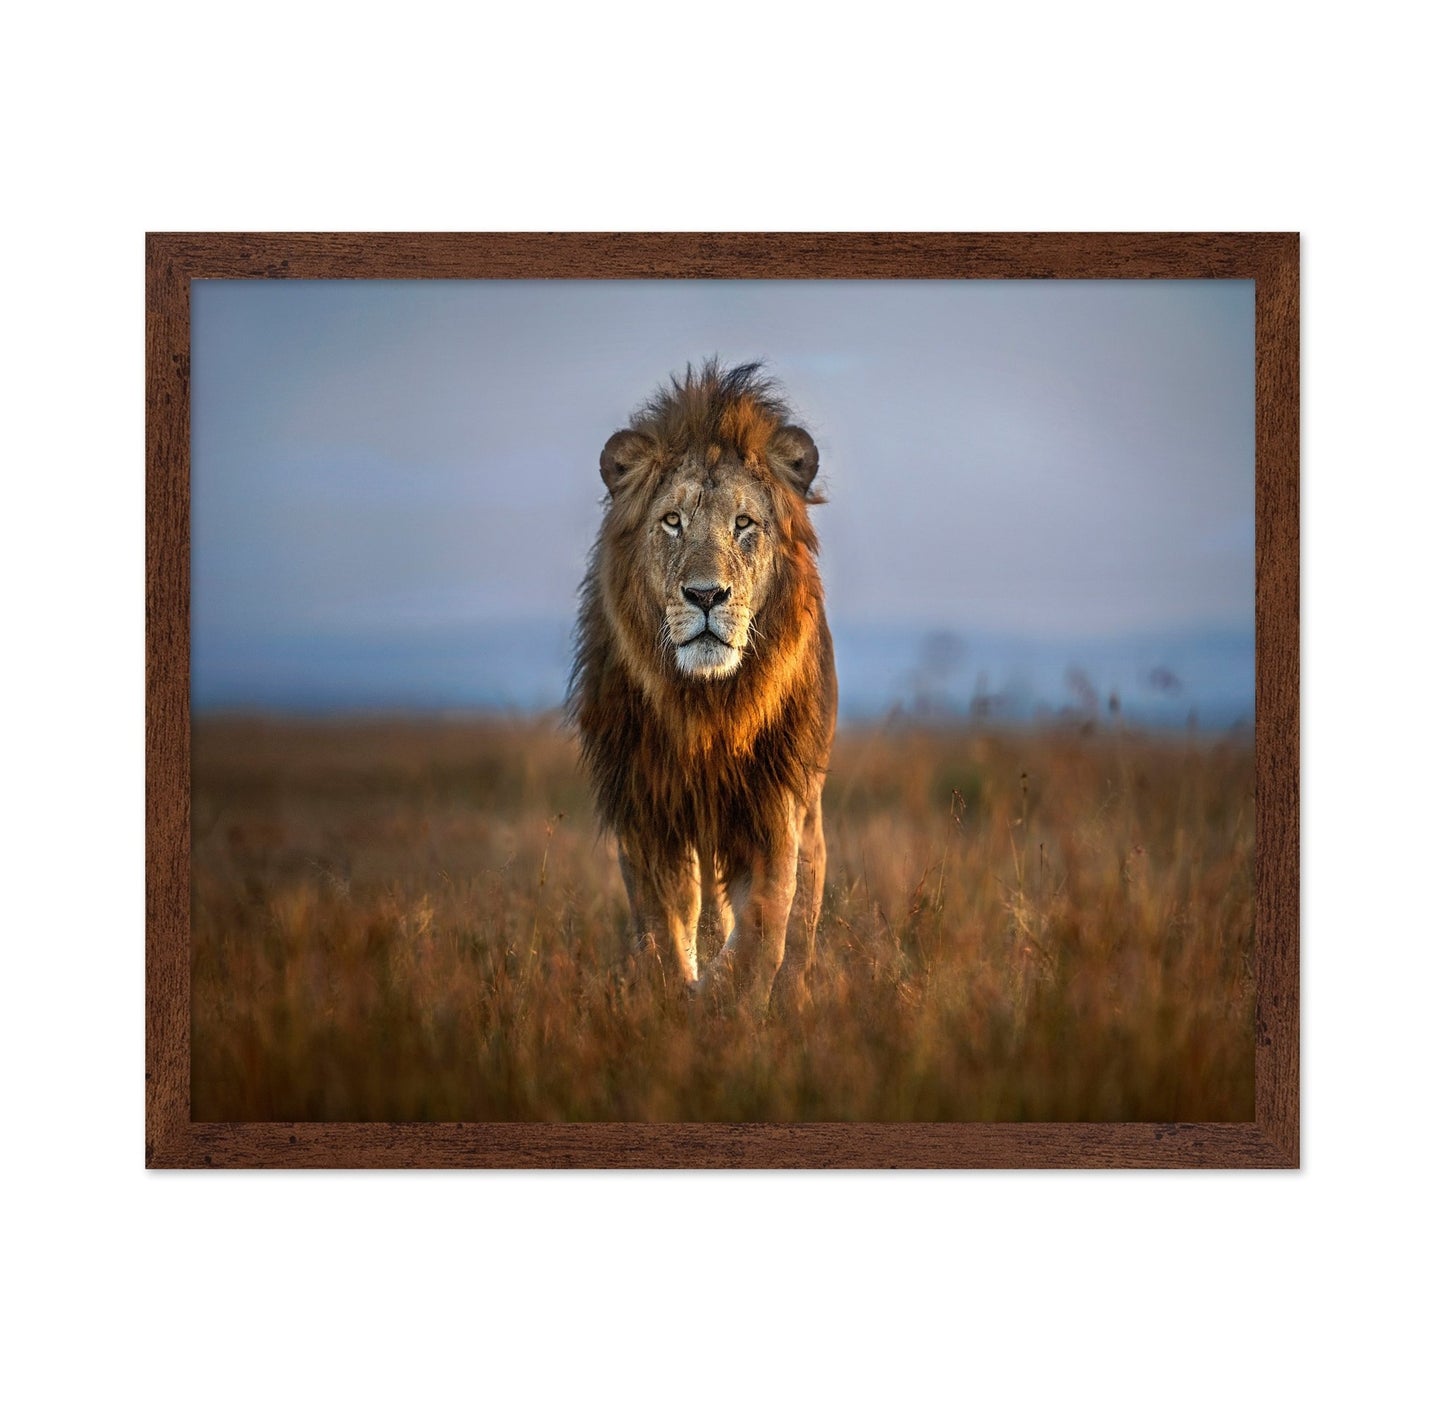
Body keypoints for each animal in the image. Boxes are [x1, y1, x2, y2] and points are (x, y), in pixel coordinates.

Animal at [568, 360, 837, 1008]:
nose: (707, 595)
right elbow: (664, 925)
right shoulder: (646, 809)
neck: (707, 705)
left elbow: (765, 923)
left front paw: (726, 1001)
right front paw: (675, 996)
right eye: (672, 521)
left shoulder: (772, 806)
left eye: (744, 524)